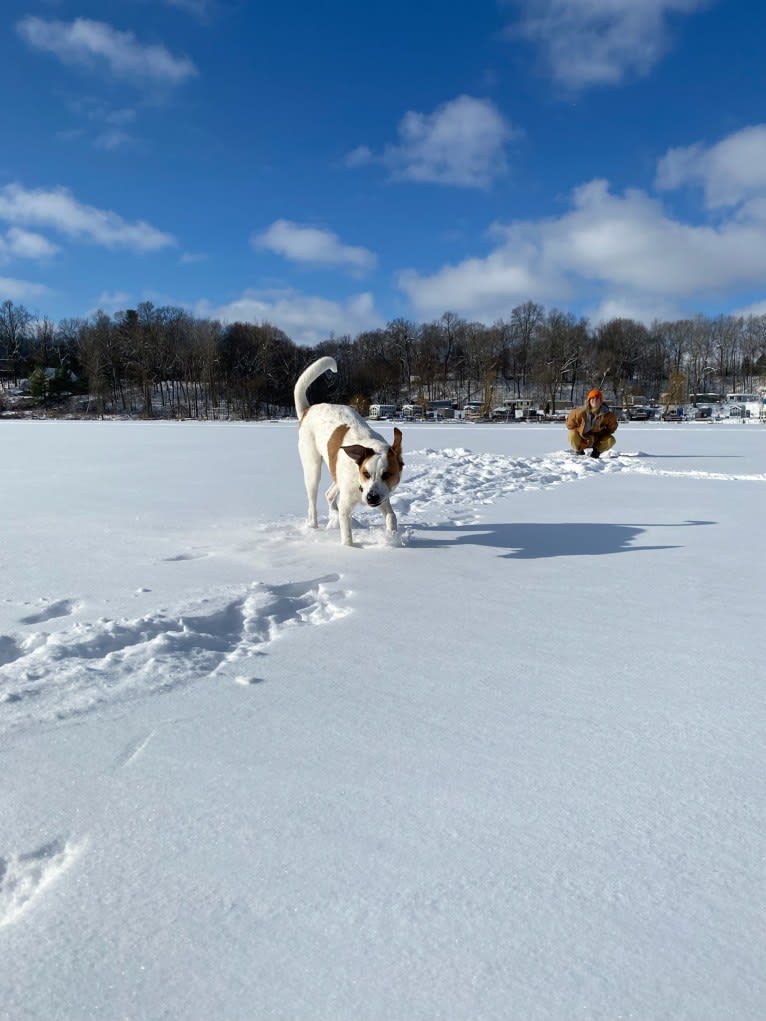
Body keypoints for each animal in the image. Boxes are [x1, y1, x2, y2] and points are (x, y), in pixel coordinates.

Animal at [294, 357, 404, 547]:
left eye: (387, 475)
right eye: (366, 473)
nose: (371, 498)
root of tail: (308, 410)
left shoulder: (383, 497)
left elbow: (392, 516)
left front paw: (391, 538)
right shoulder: (347, 504)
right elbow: (347, 536)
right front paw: (350, 548)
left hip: (336, 474)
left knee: (329, 494)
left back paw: (333, 517)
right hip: (312, 468)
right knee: (312, 503)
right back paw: (314, 527)